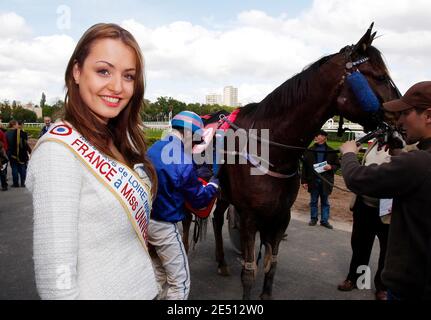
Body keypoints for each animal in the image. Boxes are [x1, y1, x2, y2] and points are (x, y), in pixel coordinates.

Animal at [206, 24, 402, 300]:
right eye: (381, 77)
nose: (400, 130)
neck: (272, 150)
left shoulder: (280, 216)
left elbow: (271, 265)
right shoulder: (249, 217)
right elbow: (249, 271)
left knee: (216, 217)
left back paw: (222, 262)